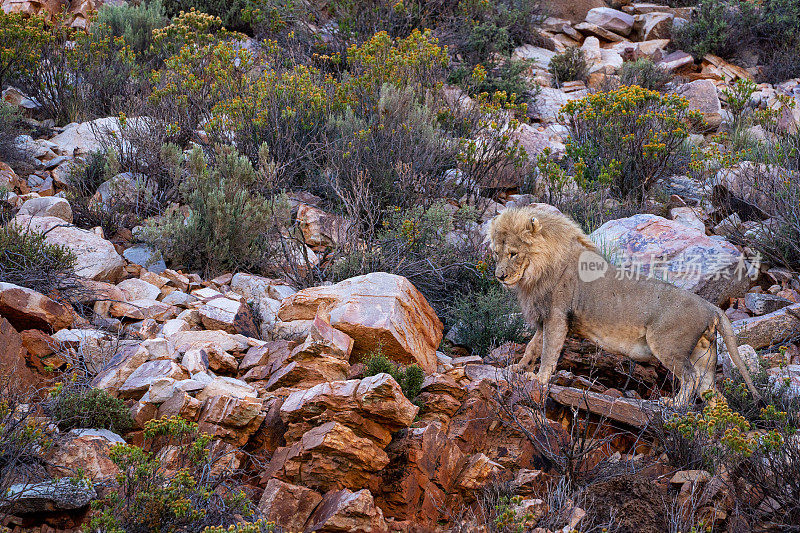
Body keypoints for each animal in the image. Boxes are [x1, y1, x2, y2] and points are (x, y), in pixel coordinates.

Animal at [488, 206, 764, 406]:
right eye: (496, 253)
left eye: (513, 253)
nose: (499, 276)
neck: (536, 272)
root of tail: (712, 307)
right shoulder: (543, 317)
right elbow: (532, 347)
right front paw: (517, 368)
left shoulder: (556, 316)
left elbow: (548, 351)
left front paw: (540, 378)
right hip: (704, 354)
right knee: (713, 393)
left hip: (667, 345)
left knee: (690, 377)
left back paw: (674, 404)